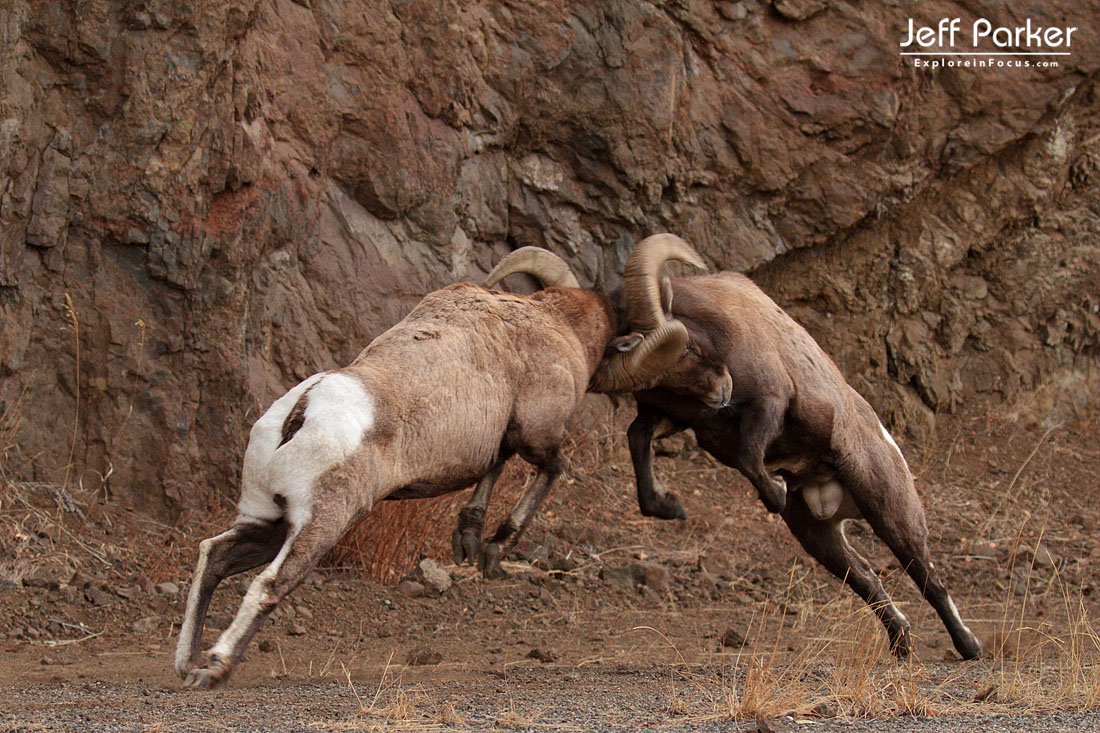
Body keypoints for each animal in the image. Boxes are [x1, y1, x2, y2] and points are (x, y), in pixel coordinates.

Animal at [173, 251, 698, 688]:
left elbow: (494, 468)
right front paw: (493, 548)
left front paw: (469, 540)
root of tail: (301, 412)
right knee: (268, 585)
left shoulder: (501, 440)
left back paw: (188, 664)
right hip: (319, 526)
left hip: (268, 521)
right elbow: (551, 470)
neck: (554, 325)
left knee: (212, 557)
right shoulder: (538, 433)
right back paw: (215, 670)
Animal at [601, 233, 982, 661]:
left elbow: (750, 456)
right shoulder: (672, 418)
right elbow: (638, 439)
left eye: (689, 348)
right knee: (866, 579)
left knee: (928, 577)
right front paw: (669, 506)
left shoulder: (771, 399)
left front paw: (777, 492)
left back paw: (968, 646)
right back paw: (901, 645)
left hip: (889, 510)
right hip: (818, 535)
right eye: (661, 380)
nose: (722, 393)